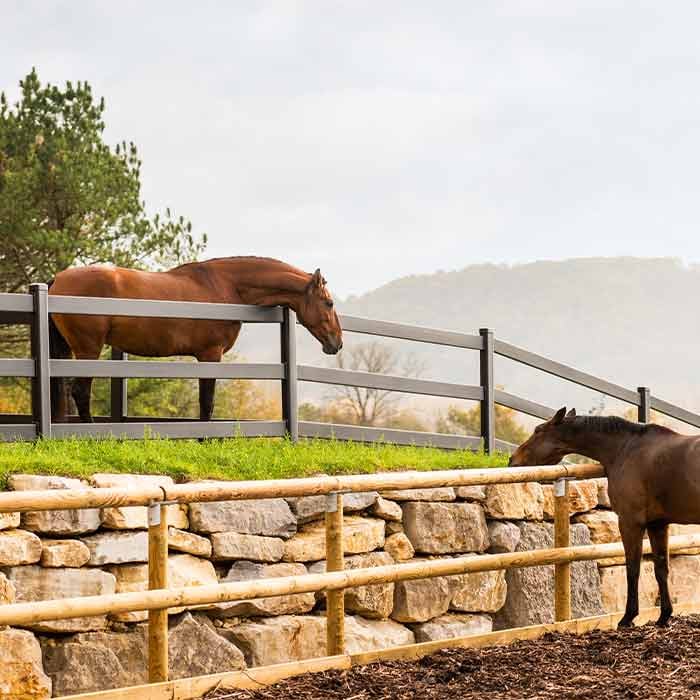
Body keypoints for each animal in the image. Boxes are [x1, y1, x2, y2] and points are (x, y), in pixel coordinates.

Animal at [47, 256, 344, 422]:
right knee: (80, 392)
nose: (337, 343)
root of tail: (55, 281)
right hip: (88, 350)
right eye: (328, 303)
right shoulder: (210, 355)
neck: (225, 286)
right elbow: (207, 402)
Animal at [508, 404, 700, 628]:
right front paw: (663, 617)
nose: (512, 460)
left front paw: (628, 617)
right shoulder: (657, 524)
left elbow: (632, 568)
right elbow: (661, 569)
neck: (625, 449)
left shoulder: (630, 522)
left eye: (538, 430)